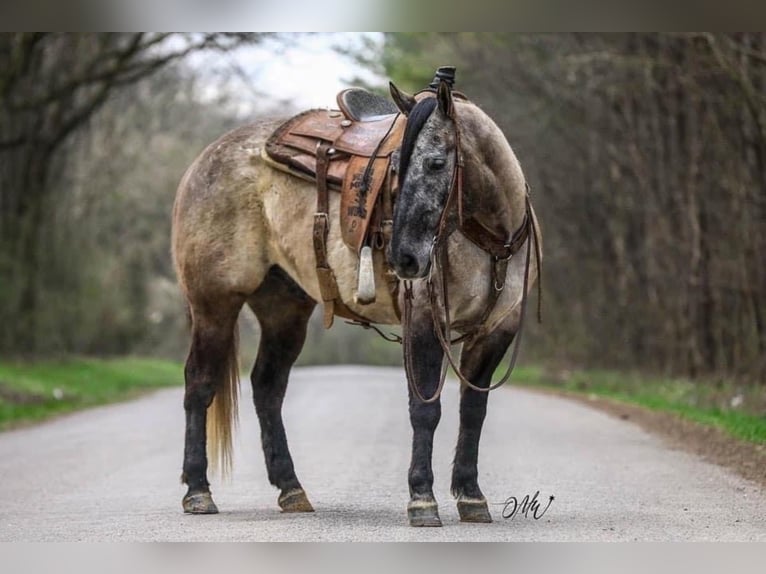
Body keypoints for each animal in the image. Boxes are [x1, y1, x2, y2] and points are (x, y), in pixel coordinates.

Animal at [172, 66, 544, 528]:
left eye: (437, 162)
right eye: (396, 167)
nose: (404, 258)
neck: (490, 238)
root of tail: (206, 158)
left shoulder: (496, 329)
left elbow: (473, 410)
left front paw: (472, 497)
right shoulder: (425, 319)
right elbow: (425, 411)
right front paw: (422, 499)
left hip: (284, 310)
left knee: (267, 386)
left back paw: (291, 489)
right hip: (215, 304)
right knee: (199, 384)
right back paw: (198, 491)